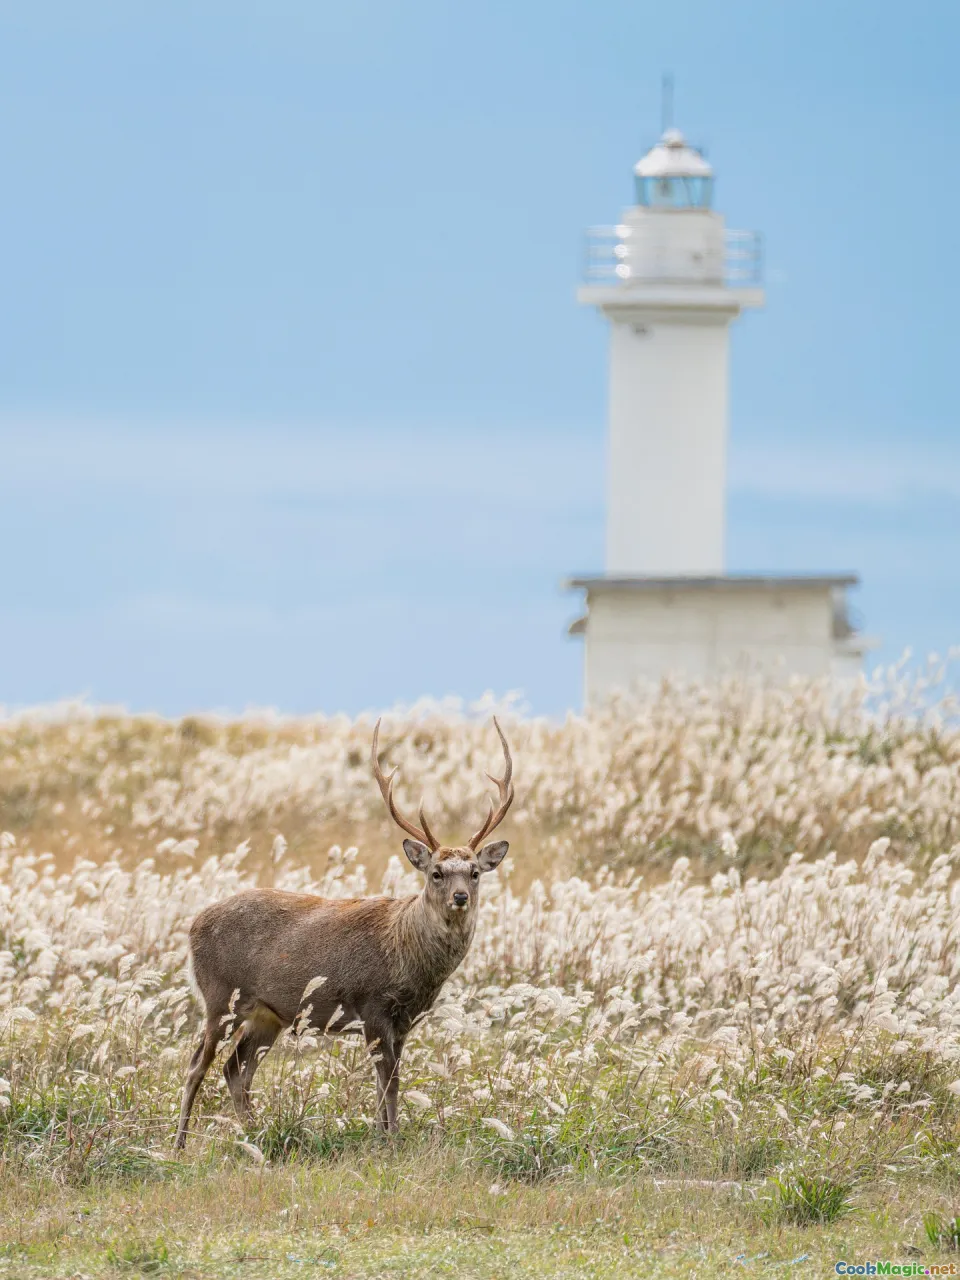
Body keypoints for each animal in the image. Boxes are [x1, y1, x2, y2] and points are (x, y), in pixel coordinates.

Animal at [175, 717, 514, 1148]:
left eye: (474, 872)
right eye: (436, 872)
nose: (460, 897)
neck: (407, 953)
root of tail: (193, 925)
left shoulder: (403, 1021)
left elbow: (389, 1082)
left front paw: (384, 1136)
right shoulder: (372, 1004)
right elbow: (389, 1083)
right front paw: (389, 1141)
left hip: (267, 1014)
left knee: (236, 1069)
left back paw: (256, 1133)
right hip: (220, 996)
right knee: (196, 1065)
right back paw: (180, 1142)